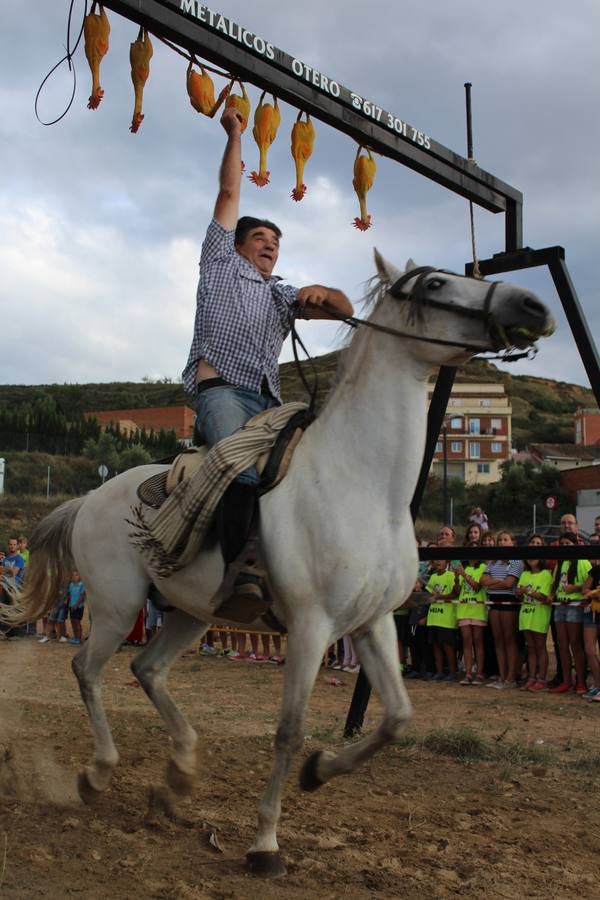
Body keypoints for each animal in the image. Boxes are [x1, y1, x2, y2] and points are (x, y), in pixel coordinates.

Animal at [4, 251, 552, 872]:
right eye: (436, 284)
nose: (532, 306)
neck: (361, 484)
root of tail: (90, 499)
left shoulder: (372, 623)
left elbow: (397, 718)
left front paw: (319, 773)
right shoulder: (312, 627)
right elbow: (289, 730)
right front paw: (265, 841)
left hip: (189, 613)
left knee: (146, 669)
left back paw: (178, 776)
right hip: (120, 607)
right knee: (87, 670)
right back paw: (99, 773)